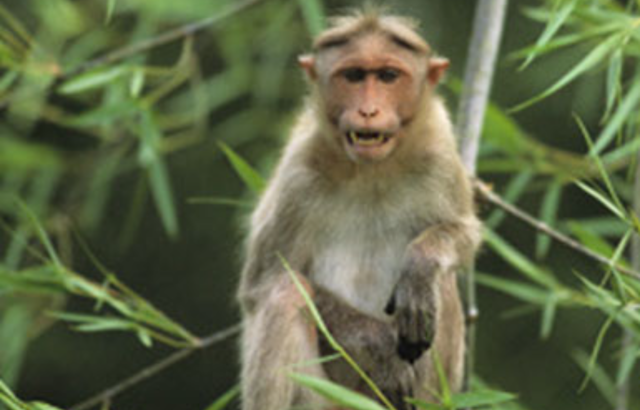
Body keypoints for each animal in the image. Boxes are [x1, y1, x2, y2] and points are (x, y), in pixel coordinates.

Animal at [237, 9, 481, 410]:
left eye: (387, 76)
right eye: (353, 76)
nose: (369, 110)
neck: (372, 172)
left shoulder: (440, 156)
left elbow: (464, 234)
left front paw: (421, 264)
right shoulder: (297, 174)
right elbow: (262, 283)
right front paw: (377, 347)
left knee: (441, 283)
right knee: (284, 295)